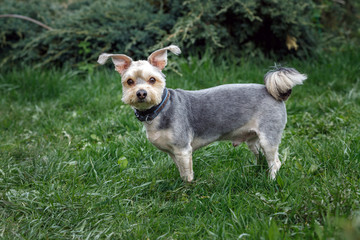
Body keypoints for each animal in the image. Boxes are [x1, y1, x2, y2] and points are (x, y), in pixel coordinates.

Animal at [98, 45, 306, 182]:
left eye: (152, 80)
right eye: (129, 82)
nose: (141, 93)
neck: (159, 110)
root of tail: (274, 93)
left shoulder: (183, 150)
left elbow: (188, 176)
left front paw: (187, 191)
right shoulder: (174, 153)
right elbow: (182, 172)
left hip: (268, 137)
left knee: (275, 162)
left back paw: (270, 181)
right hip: (253, 140)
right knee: (261, 157)